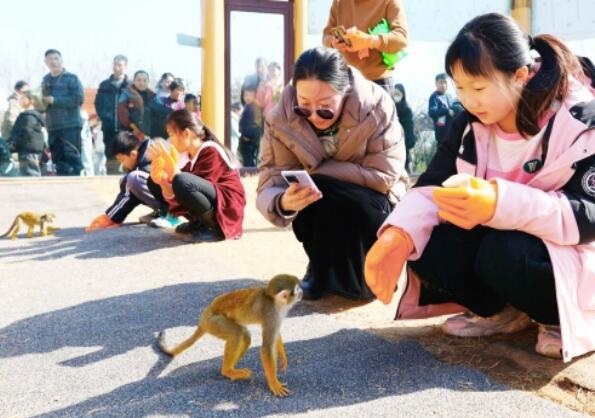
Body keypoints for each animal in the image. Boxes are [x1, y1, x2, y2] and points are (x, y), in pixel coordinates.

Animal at [158, 272, 302, 396]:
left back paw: (231, 369)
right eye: (297, 289)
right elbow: (267, 348)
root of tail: (203, 318)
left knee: (244, 335)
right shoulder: (271, 314)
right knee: (236, 333)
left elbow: (274, 336)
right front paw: (274, 384)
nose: (302, 292)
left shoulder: (277, 314)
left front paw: (282, 355)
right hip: (214, 322)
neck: (274, 301)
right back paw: (227, 371)